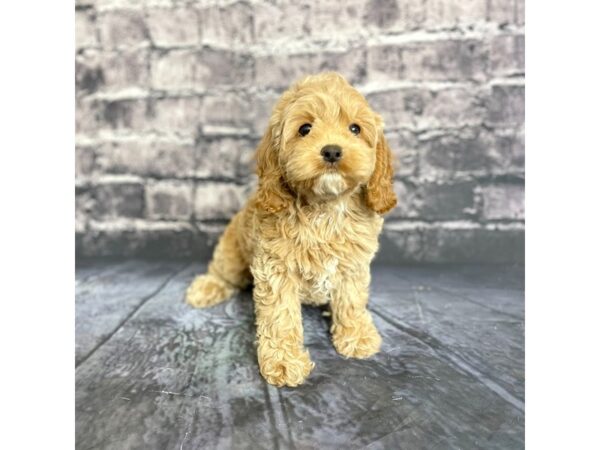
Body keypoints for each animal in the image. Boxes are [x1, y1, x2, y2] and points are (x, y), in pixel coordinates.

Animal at [185, 71, 396, 386]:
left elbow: (351, 300)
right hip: (233, 253)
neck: (324, 208)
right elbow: (280, 316)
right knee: (222, 272)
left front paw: (356, 336)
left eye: (355, 128)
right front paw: (284, 362)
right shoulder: (275, 269)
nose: (332, 151)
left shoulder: (353, 265)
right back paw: (206, 288)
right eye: (305, 129)